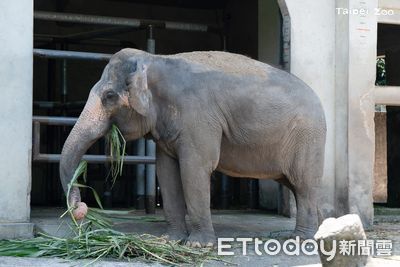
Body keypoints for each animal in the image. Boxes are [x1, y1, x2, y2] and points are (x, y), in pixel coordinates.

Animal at [60, 48, 328, 249]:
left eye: (109, 96)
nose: (81, 211)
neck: (155, 60)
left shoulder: (198, 117)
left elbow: (194, 169)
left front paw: (198, 245)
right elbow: (166, 173)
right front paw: (170, 241)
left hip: (307, 138)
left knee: (303, 184)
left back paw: (299, 240)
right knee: (298, 186)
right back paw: (317, 232)